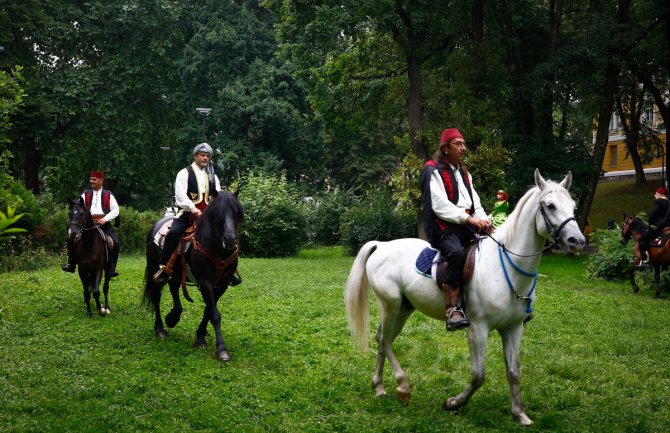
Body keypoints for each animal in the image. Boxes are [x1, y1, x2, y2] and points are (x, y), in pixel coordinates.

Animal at [143, 192, 245, 362]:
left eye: (237, 213)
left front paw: (200, 337)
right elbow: (214, 314)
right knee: (156, 297)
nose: (230, 240)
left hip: (177, 273)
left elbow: (209, 311)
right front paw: (221, 349)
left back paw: (173, 317)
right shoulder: (205, 283)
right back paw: (160, 329)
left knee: (173, 287)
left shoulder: (222, 284)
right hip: (155, 270)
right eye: (217, 213)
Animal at [346, 167, 588, 424]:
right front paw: (453, 403)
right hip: (390, 305)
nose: (577, 241)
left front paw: (519, 414)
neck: (505, 267)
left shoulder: (513, 329)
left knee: (383, 339)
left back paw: (379, 387)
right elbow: (478, 375)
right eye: (550, 206)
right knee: (385, 340)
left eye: (573, 207)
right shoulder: (478, 329)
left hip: (403, 308)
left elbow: (514, 372)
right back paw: (402, 388)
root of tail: (382, 246)